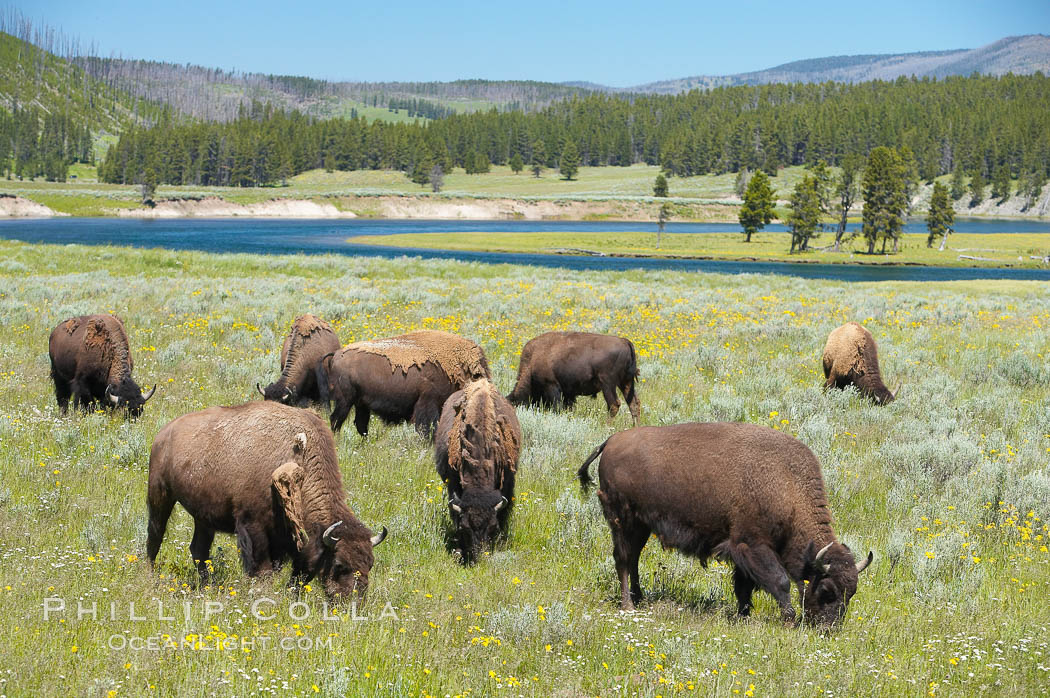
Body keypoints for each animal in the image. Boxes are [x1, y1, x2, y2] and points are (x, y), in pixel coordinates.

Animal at [148, 400, 390, 596]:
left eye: (370, 564)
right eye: (339, 565)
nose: (353, 601)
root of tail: (164, 433)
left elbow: (300, 575)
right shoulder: (253, 526)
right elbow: (262, 568)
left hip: (203, 517)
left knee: (199, 549)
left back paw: (207, 583)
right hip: (160, 495)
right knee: (155, 535)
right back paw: (149, 572)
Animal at [315, 331, 491, 436]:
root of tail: (336, 354)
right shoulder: (427, 403)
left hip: (361, 404)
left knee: (360, 424)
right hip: (345, 401)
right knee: (336, 420)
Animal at [508, 331, 638, 424]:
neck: (533, 359)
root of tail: (624, 341)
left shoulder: (552, 386)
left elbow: (557, 408)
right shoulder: (568, 394)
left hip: (608, 384)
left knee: (614, 405)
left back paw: (606, 425)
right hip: (626, 382)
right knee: (634, 404)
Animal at [579, 421, 873, 629]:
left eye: (851, 593)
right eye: (826, 590)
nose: (828, 629)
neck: (787, 486)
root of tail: (611, 441)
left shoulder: (743, 552)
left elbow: (744, 587)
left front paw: (743, 615)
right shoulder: (752, 545)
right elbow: (780, 582)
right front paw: (788, 619)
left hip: (641, 526)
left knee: (633, 560)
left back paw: (639, 599)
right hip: (622, 522)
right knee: (623, 559)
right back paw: (628, 605)